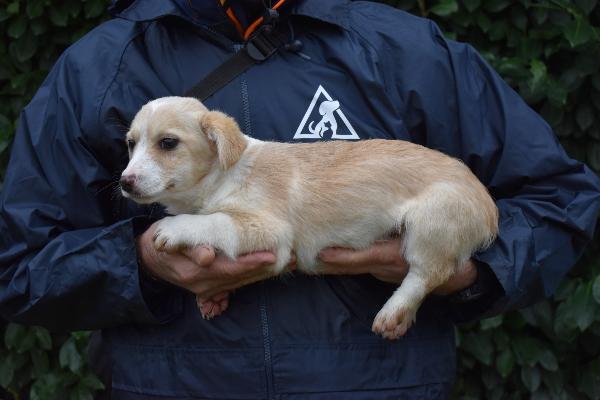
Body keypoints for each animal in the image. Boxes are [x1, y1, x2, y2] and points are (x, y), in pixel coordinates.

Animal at [120, 96, 496, 338]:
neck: (223, 174)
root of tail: (489, 208)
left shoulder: (270, 231)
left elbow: (214, 221)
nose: (124, 182)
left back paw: (394, 313)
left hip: (433, 222)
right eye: (130, 144)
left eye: (168, 143)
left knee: (427, 273)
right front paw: (212, 297)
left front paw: (172, 228)